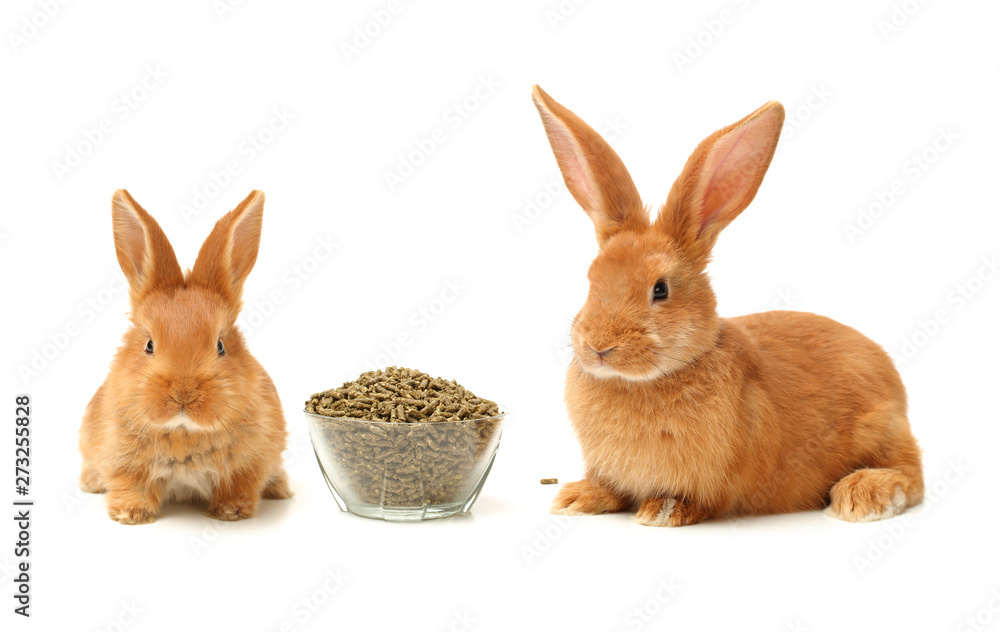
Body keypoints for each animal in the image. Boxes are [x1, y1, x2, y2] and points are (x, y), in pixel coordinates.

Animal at [79, 189, 292, 525]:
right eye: (149, 345)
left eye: (220, 345)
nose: (184, 393)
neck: (183, 431)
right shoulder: (122, 462)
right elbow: (130, 486)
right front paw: (130, 515)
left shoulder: (248, 465)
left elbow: (239, 486)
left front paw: (230, 512)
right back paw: (90, 483)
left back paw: (280, 489)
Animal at [531, 85, 923, 526]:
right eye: (591, 280)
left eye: (660, 290)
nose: (599, 347)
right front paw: (576, 498)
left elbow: (694, 501)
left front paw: (662, 511)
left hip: (882, 430)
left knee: (913, 474)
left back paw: (864, 495)